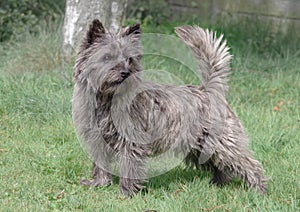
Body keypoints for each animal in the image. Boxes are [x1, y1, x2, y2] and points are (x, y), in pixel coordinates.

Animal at [72, 19, 268, 196]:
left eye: (130, 59)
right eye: (106, 57)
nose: (125, 72)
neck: (107, 99)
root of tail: (209, 90)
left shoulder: (131, 142)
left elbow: (129, 167)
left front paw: (125, 194)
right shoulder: (97, 140)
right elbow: (100, 164)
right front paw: (99, 184)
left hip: (223, 143)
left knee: (248, 164)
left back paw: (259, 190)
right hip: (201, 145)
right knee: (220, 164)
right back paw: (218, 183)